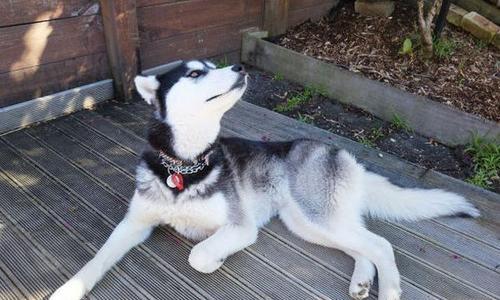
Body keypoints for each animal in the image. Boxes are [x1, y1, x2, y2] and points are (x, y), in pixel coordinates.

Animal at [50, 59, 480, 298]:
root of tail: (340, 152)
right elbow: (97, 259)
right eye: (195, 72)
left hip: (315, 215)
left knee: (382, 245)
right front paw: (68, 290)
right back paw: (361, 282)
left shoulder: (240, 227)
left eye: (214, 65)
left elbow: (198, 254)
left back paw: (388, 292)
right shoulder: (134, 225)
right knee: (364, 248)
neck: (184, 167)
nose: (239, 67)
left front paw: (217, 259)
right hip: (309, 223)